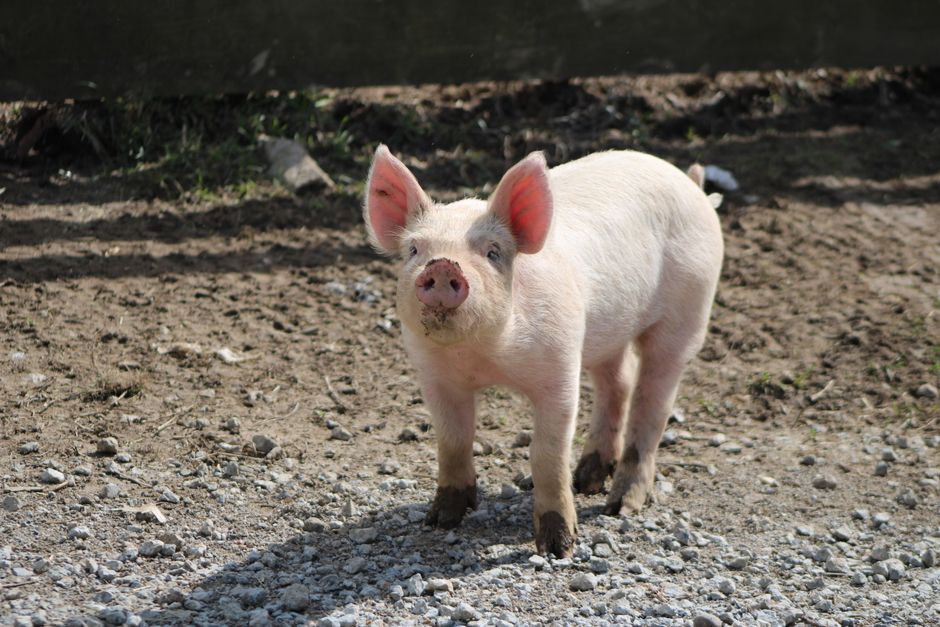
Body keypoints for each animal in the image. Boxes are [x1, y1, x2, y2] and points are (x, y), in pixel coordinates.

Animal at [363, 145, 723, 557]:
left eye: (493, 252)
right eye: (414, 249)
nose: (441, 266)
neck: (482, 355)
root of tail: (692, 186)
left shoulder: (560, 367)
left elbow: (546, 454)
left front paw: (557, 548)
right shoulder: (433, 375)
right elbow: (453, 440)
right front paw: (439, 521)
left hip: (688, 311)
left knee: (653, 406)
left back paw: (619, 507)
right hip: (606, 331)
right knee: (619, 382)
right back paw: (586, 480)